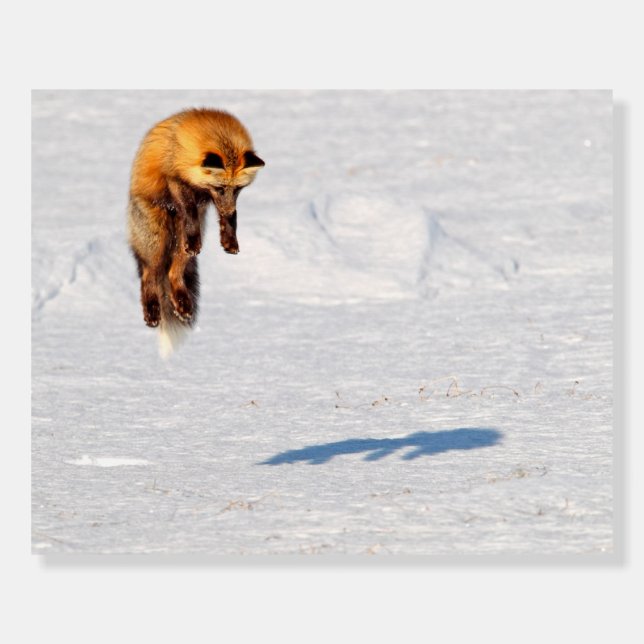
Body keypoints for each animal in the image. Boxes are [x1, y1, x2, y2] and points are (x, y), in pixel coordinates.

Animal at [127, 108, 265, 357]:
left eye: (238, 189)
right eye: (220, 187)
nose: (228, 208)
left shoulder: (211, 200)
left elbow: (231, 220)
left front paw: (229, 238)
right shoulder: (176, 179)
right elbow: (189, 209)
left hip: (181, 247)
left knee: (173, 273)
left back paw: (182, 303)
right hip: (157, 240)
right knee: (149, 275)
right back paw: (152, 311)